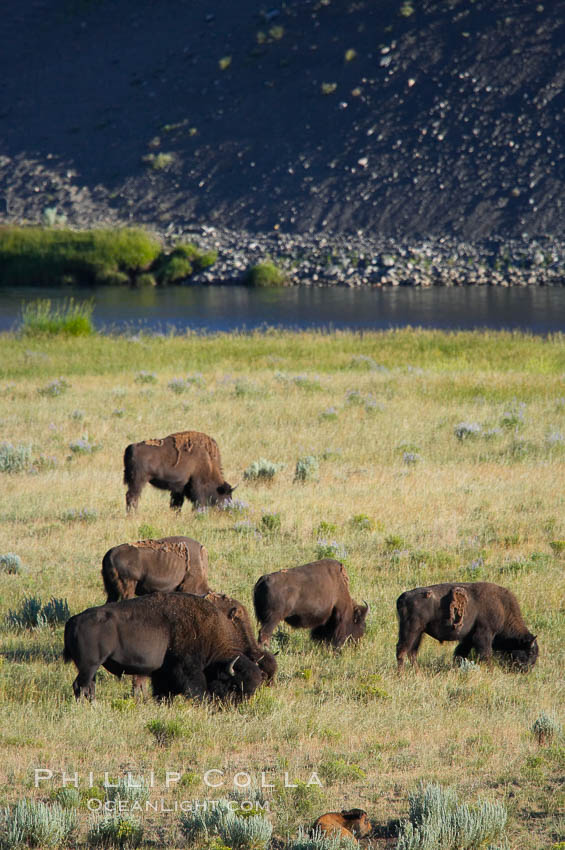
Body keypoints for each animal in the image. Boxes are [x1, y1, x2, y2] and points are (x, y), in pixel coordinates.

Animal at [62, 588, 266, 704]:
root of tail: (73, 620)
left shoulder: (162, 674)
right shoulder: (188, 669)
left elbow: (162, 692)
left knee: (88, 687)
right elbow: (196, 690)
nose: (235, 707)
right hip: (90, 665)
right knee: (81, 686)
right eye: (234, 686)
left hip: (91, 668)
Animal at [396, 584, 536, 668]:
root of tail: (404, 597)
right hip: (411, 631)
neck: (503, 607)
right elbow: (486, 654)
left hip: (418, 633)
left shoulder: (468, 639)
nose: (528, 669)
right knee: (402, 651)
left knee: (412, 653)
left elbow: (460, 654)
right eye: (529, 653)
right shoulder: (484, 635)